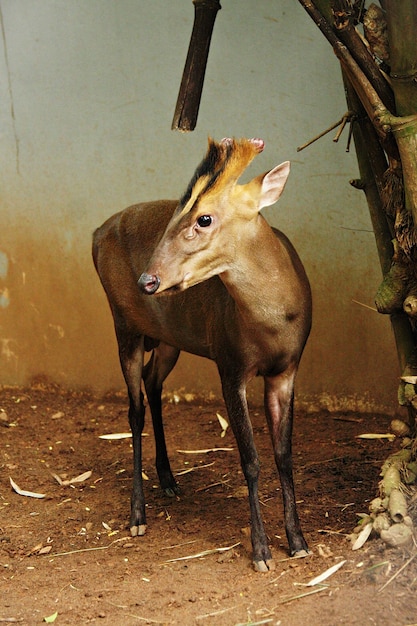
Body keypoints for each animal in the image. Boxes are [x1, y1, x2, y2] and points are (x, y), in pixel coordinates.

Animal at [92, 138, 310, 572]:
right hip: (123, 323)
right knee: (134, 409)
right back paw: (137, 515)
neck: (273, 323)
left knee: (152, 383)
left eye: (203, 218)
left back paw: (169, 480)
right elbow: (251, 460)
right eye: (177, 214)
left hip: (170, 338)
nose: (148, 280)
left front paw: (297, 540)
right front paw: (261, 551)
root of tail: (94, 233)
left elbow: (284, 455)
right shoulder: (231, 366)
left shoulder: (286, 370)